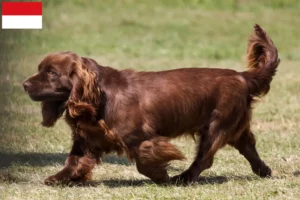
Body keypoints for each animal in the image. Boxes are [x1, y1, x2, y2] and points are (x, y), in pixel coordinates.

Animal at [22, 24, 278, 185]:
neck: (99, 98)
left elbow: (144, 161)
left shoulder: (141, 137)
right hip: (233, 126)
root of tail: (242, 76)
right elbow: (73, 160)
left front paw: (161, 176)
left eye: (52, 73)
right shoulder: (87, 139)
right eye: (40, 69)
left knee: (205, 158)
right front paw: (61, 178)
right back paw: (264, 171)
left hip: (217, 126)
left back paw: (183, 178)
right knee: (248, 146)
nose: (24, 84)